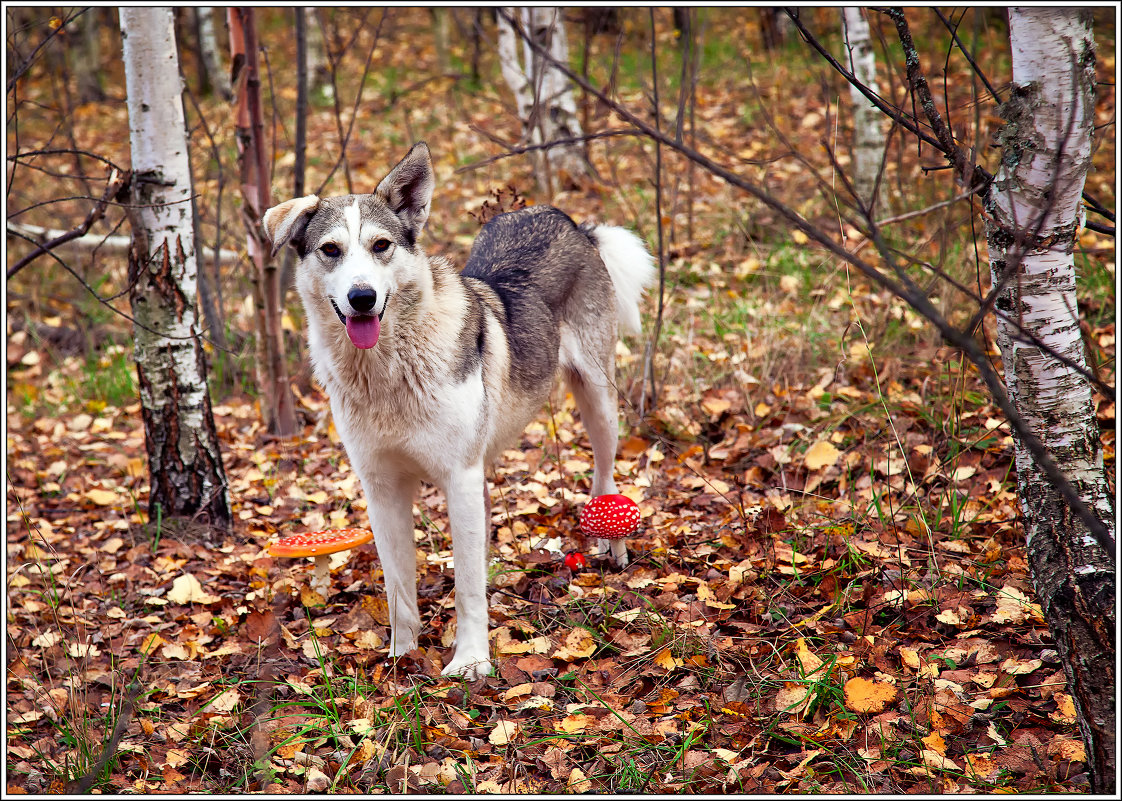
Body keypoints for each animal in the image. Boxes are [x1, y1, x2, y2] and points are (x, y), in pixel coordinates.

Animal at [262, 141, 655, 673]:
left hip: (598, 401)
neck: (389, 372)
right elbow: (398, 588)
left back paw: (612, 548)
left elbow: (468, 587)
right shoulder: (382, 490)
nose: (362, 297)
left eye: (381, 246)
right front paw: (402, 658)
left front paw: (470, 663)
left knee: (604, 474)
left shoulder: (459, 479)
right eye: (330, 250)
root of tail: (572, 223)